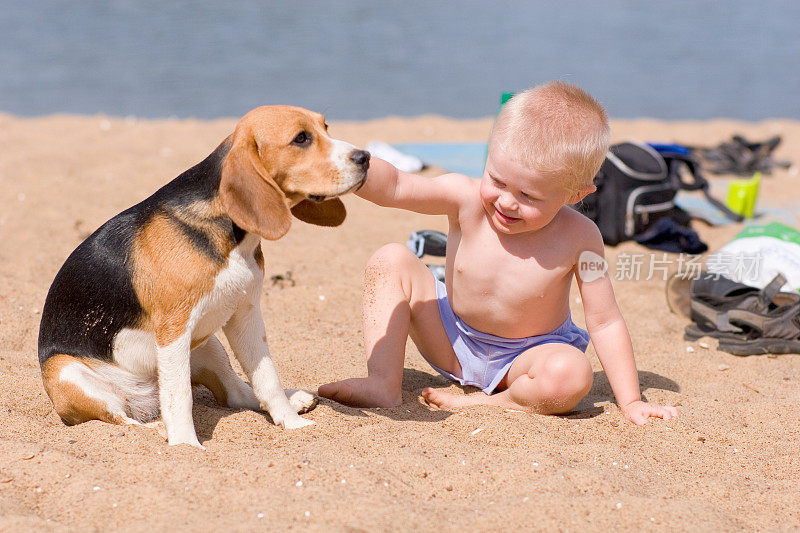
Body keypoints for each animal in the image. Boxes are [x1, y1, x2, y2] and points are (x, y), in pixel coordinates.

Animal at [39, 104, 370, 444]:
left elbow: (267, 378)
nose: (365, 157)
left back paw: (294, 400)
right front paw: (185, 445)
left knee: (236, 393)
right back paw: (157, 428)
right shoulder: (174, 330)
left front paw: (292, 423)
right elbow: (180, 395)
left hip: (209, 345)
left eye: (326, 127)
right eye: (301, 138)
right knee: (122, 417)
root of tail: (144, 399)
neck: (233, 236)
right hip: (67, 372)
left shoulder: (245, 315)